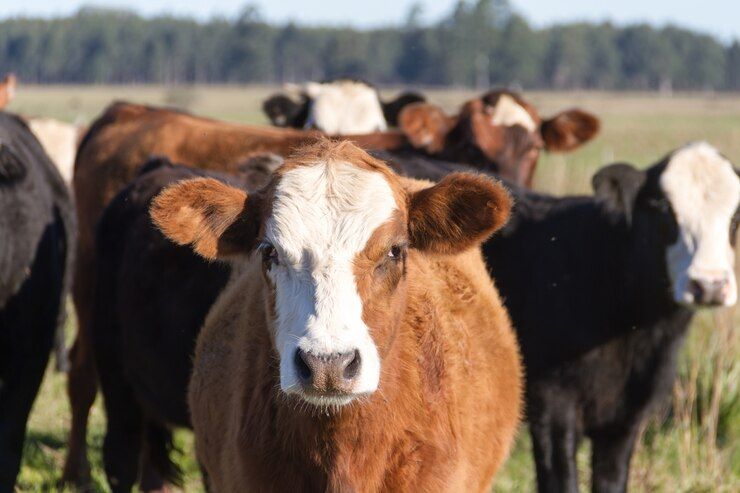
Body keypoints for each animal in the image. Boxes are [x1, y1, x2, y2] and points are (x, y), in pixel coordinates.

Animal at [482, 140, 736, 490]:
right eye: (663, 207)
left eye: (736, 216)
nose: (709, 285)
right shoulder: (552, 403)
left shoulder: (628, 413)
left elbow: (612, 479)